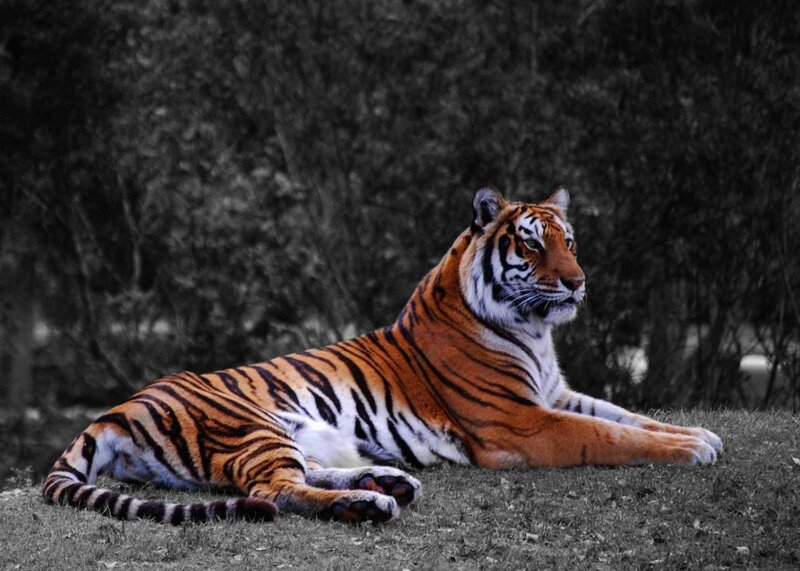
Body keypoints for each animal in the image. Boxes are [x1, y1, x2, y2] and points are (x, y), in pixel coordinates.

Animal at [43, 186, 723, 524]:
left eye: (570, 242)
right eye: (531, 246)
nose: (579, 283)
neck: (533, 332)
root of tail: (113, 411)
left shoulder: (555, 394)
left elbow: (630, 417)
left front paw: (699, 434)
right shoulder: (520, 422)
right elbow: (608, 436)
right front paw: (692, 450)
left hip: (299, 434)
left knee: (295, 476)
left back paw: (385, 481)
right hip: (249, 425)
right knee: (274, 491)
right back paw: (368, 504)